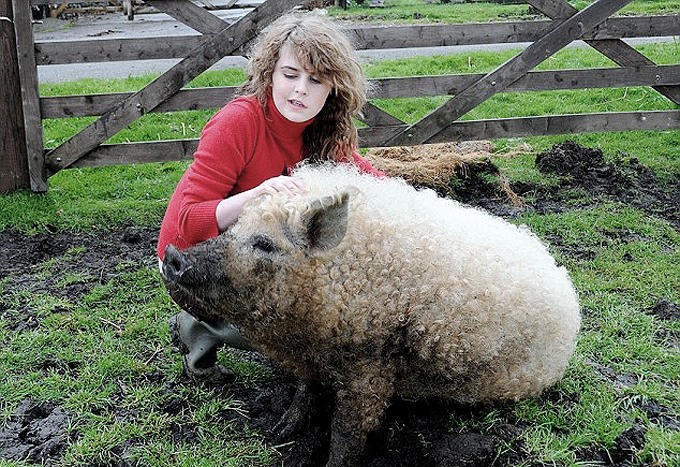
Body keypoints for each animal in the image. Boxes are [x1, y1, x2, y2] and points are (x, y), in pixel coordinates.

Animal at [162, 163, 580, 466]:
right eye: (233, 228)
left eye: (265, 244)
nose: (173, 255)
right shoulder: (311, 352)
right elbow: (305, 388)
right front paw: (281, 432)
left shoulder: (371, 361)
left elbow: (348, 429)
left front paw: (331, 460)